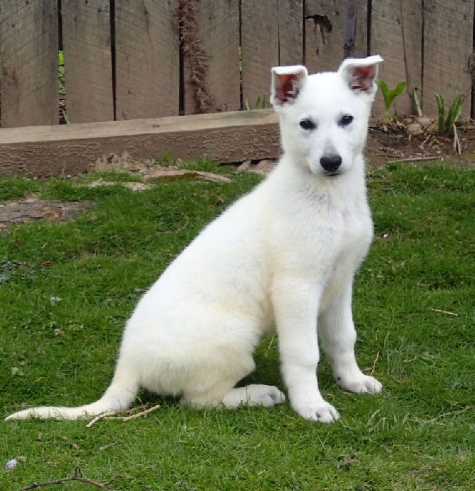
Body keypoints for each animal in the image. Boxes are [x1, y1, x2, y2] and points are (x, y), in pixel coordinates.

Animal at [6, 55, 384, 424]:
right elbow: (304, 353)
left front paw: (352, 380)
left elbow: (343, 337)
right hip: (235, 337)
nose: (331, 162)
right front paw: (310, 404)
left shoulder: (340, 282)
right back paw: (259, 394)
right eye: (306, 124)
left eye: (347, 119)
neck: (329, 196)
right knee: (198, 401)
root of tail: (127, 364)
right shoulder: (296, 288)